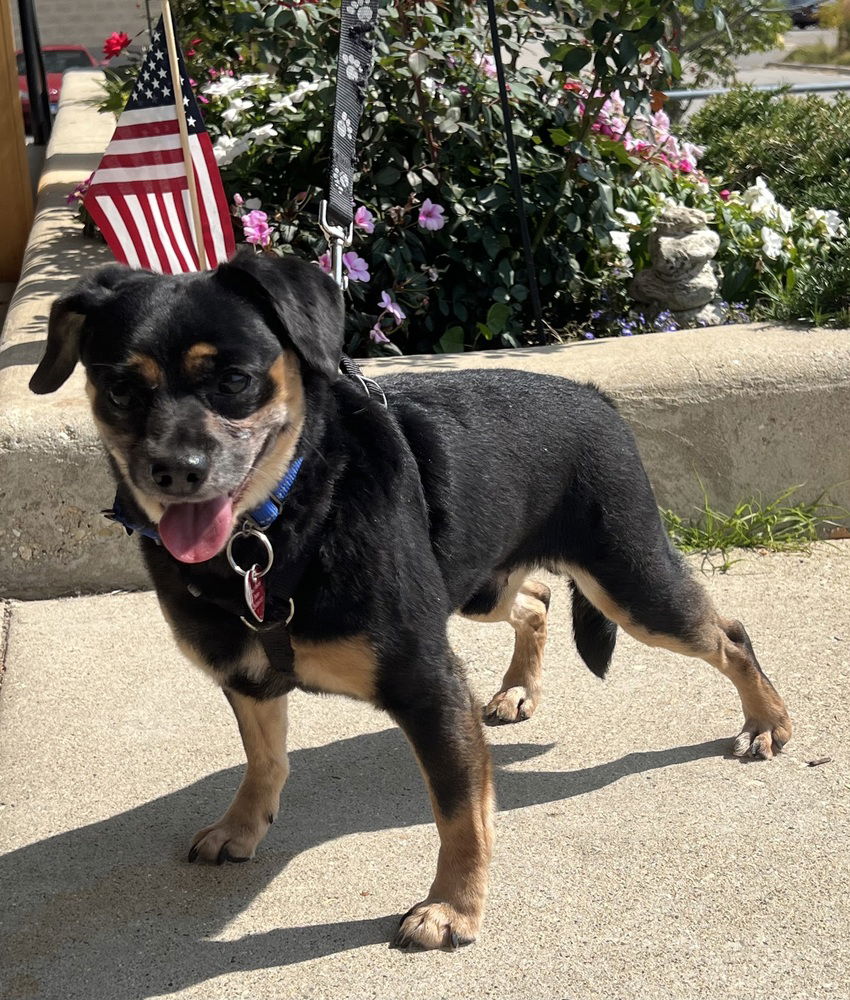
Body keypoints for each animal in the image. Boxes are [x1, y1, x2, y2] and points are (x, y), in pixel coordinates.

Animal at [31, 246, 788, 948]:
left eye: (234, 380)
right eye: (120, 389)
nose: (174, 471)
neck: (277, 525)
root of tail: (593, 393)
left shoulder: (428, 682)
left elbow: (460, 813)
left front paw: (452, 907)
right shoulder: (246, 675)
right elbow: (263, 758)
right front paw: (243, 825)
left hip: (632, 583)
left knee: (729, 634)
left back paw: (768, 722)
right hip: (480, 587)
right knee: (537, 595)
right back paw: (518, 689)